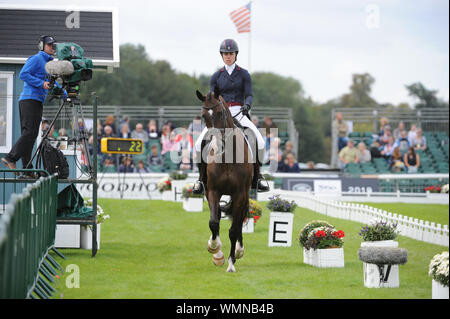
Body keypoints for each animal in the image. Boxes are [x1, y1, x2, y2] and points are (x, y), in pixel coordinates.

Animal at [196, 87, 255, 272]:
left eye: (220, 113)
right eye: (203, 116)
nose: (217, 147)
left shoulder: (240, 193)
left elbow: (234, 230)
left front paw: (230, 263)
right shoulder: (212, 191)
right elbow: (214, 222)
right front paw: (215, 251)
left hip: (244, 195)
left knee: (240, 219)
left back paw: (239, 251)